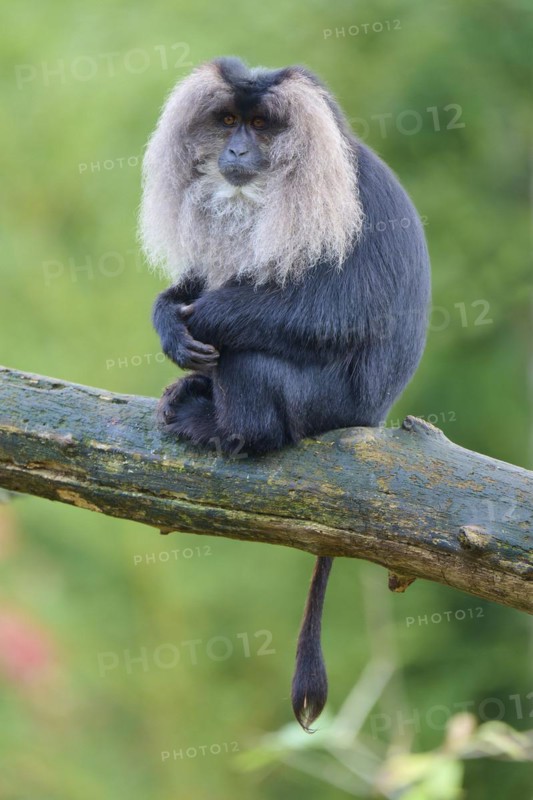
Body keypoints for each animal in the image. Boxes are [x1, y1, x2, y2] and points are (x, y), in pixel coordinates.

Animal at [139, 57, 431, 731]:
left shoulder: (354, 200)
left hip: (324, 404)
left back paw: (227, 430)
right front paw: (170, 321)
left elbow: (338, 315)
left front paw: (204, 316)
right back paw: (190, 393)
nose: (238, 150)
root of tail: (371, 418)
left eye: (263, 126)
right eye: (227, 122)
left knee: (252, 357)